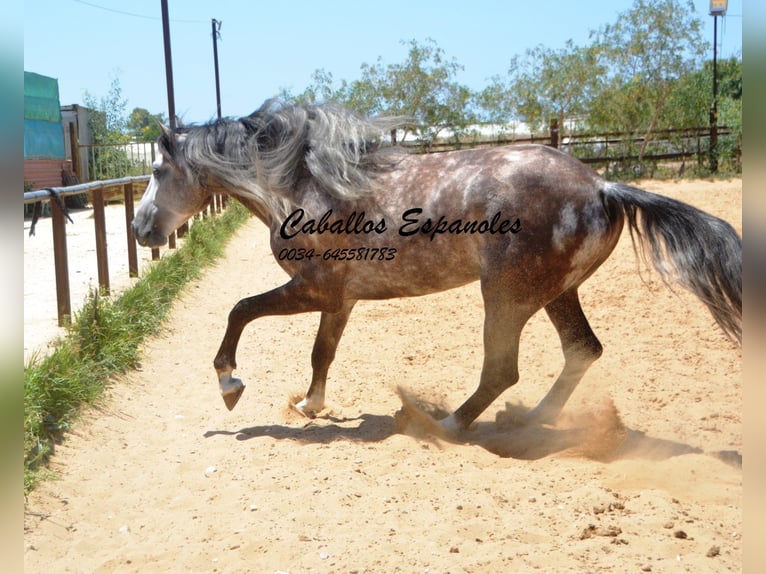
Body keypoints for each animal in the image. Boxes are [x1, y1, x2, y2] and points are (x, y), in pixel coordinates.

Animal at [134, 100, 744, 436]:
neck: (307, 186)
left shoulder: (312, 289)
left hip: (507, 296)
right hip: (554, 292)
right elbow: (321, 352)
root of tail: (602, 186)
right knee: (581, 350)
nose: (141, 230)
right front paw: (311, 405)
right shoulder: (339, 300)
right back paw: (530, 420)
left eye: (159, 171)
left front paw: (230, 384)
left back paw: (446, 424)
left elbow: (240, 311)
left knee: (502, 370)